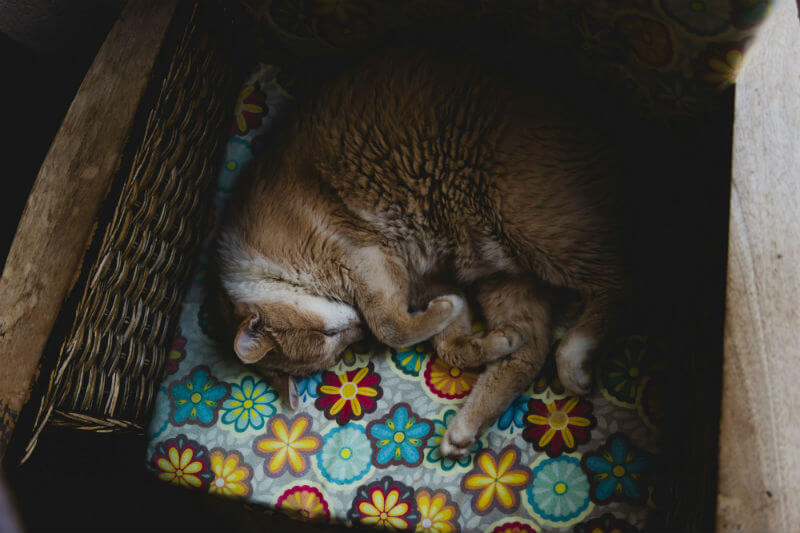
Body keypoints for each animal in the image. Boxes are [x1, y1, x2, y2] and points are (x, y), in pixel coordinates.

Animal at [214, 51, 624, 458]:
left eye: (330, 337)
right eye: (334, 350)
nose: (357, 330)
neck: (268, 262)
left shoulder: (365, 255)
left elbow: (391, 327)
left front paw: (424, 319)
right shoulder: (426, 279)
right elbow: (450, 344)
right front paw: (472, 332)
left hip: (531, 225)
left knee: (620, 278)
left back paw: (574, 357)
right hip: (505, 275)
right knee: (531, 348)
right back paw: (467, 425)